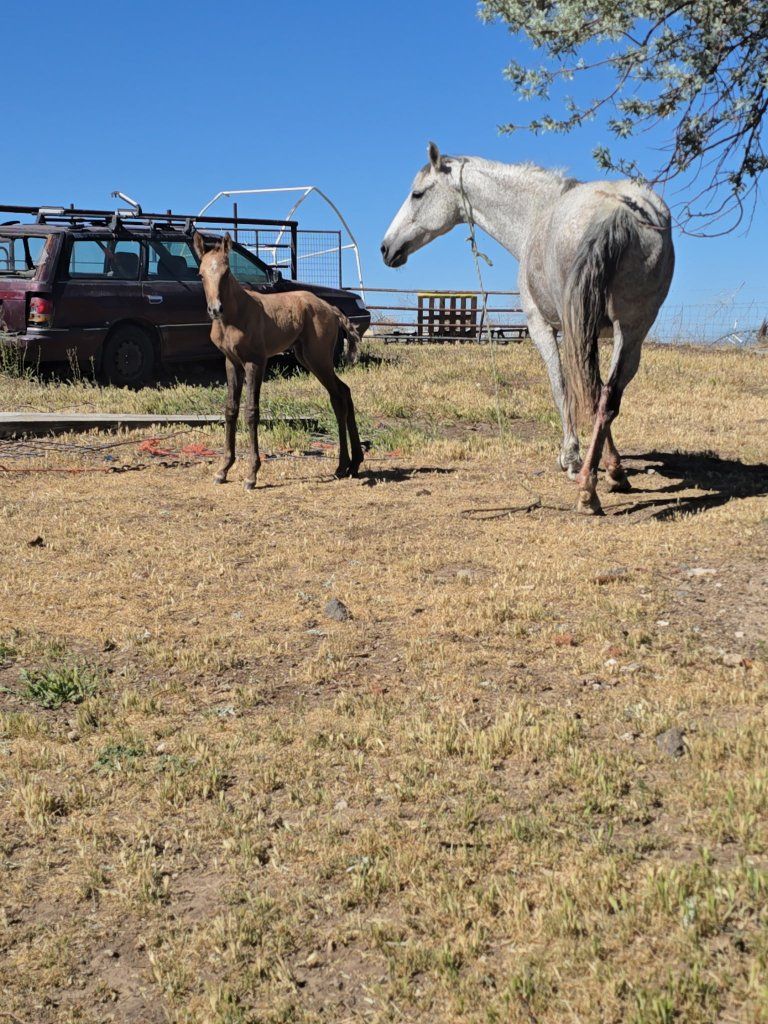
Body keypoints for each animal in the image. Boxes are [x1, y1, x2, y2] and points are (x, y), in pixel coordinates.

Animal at [192, 232, 364, 489]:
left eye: (226, 272)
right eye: (201, 274)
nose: (215, 309)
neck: (234, 315)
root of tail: (331, 308)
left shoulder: (256, 361)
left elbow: (251, 411)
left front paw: (251, 474)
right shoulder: (231, 362)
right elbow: (231, 409)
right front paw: (223, 470)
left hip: (318, 357)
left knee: (339, 394)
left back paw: (346, 464)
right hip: (308, 357)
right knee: (342, 392)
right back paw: (350, 464)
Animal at [381, 143, 675, 514]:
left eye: (418, 194)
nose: (386, 248)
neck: (537, 212)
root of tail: (617, 211)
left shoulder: (543, 327)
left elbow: (562, 387)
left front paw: (572, 459)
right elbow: (595, 395)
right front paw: (613, 469)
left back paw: (585, 490)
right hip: (633, 331)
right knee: (608, 398)